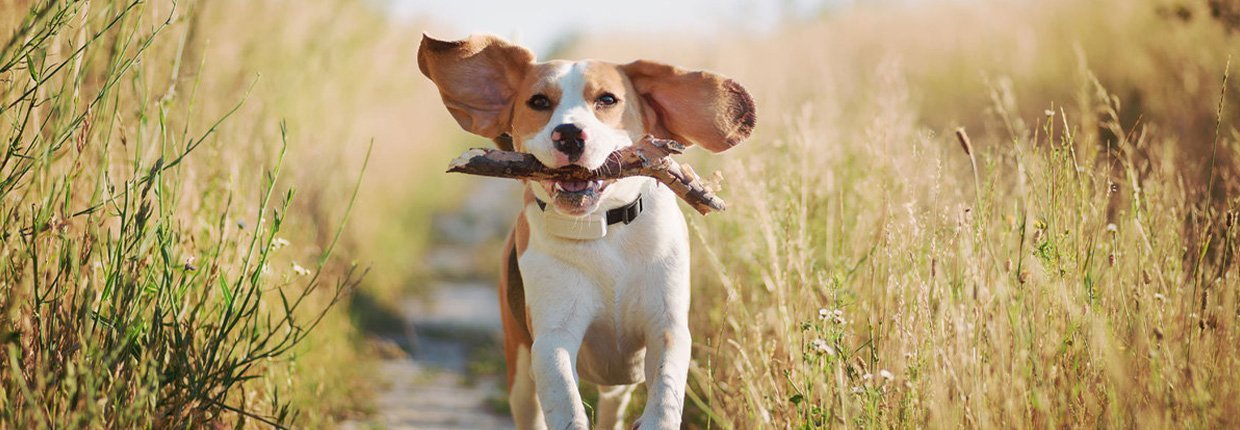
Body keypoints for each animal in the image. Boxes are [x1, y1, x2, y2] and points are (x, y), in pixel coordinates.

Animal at [419, 34, 753, 430]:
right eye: (539, 102)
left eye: (607, 99)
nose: (568, 134)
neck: (603, 230)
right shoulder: (553, 339)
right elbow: (566, 401)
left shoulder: (667, 327)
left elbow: (665, 392)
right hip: (520, 373)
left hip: (619, 380)